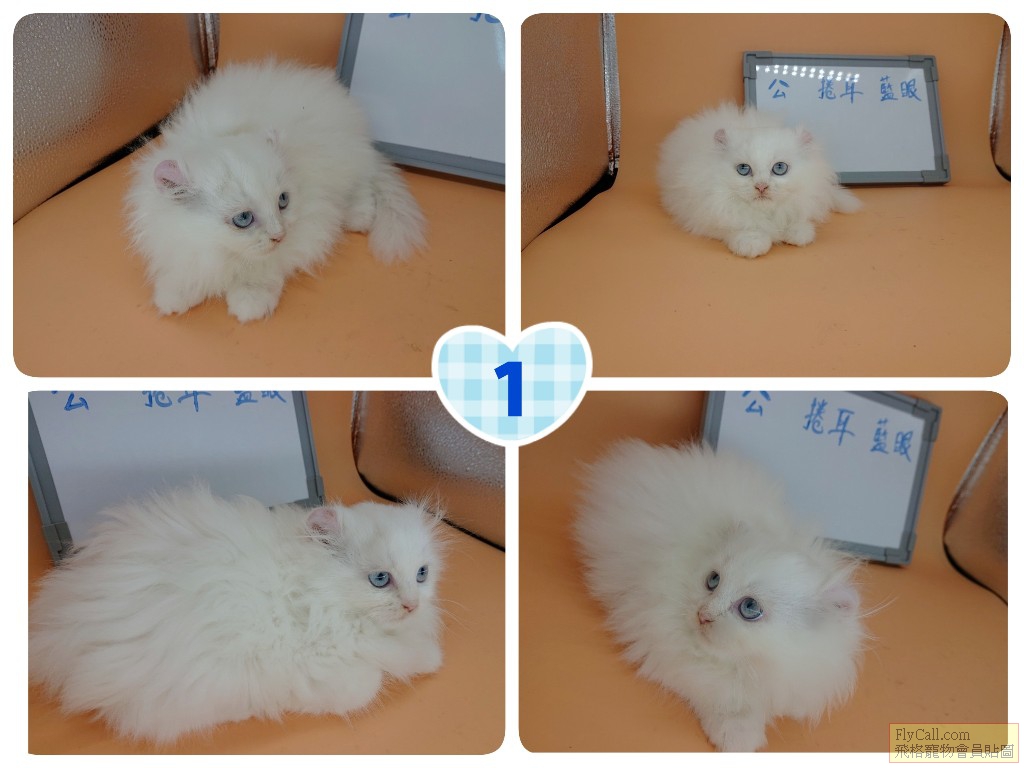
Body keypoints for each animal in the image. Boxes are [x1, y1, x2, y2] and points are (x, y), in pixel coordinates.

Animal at [29, 485, 445, 744]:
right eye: (380, 579)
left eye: (421, 574)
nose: (412, 604)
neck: (307, 589)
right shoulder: (311, 666)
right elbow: (365, 685)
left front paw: (430, 657)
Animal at [124, 60, 425, 322]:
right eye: (243, 219)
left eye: (283, 201)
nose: (279, 235)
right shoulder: (181, 243)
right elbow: (188, 269)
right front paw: (175, 294)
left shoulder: (311, 224)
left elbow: (265, 266)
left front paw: (250, 301)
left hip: (347, 165)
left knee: (363, 185)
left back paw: (358, 218)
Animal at [574, 440, 864, 752]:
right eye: (713, 581)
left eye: (750, 607)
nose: (703, 615)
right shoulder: (669, 646)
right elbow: (720, 696)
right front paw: (737, 738)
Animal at [657, 103, 861, 258]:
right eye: (743, 169)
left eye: (779, 168)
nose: (761, 186)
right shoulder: (707, 211)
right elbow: (737, 226)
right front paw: (752, 244)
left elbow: (797, 219)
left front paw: (798, 233)